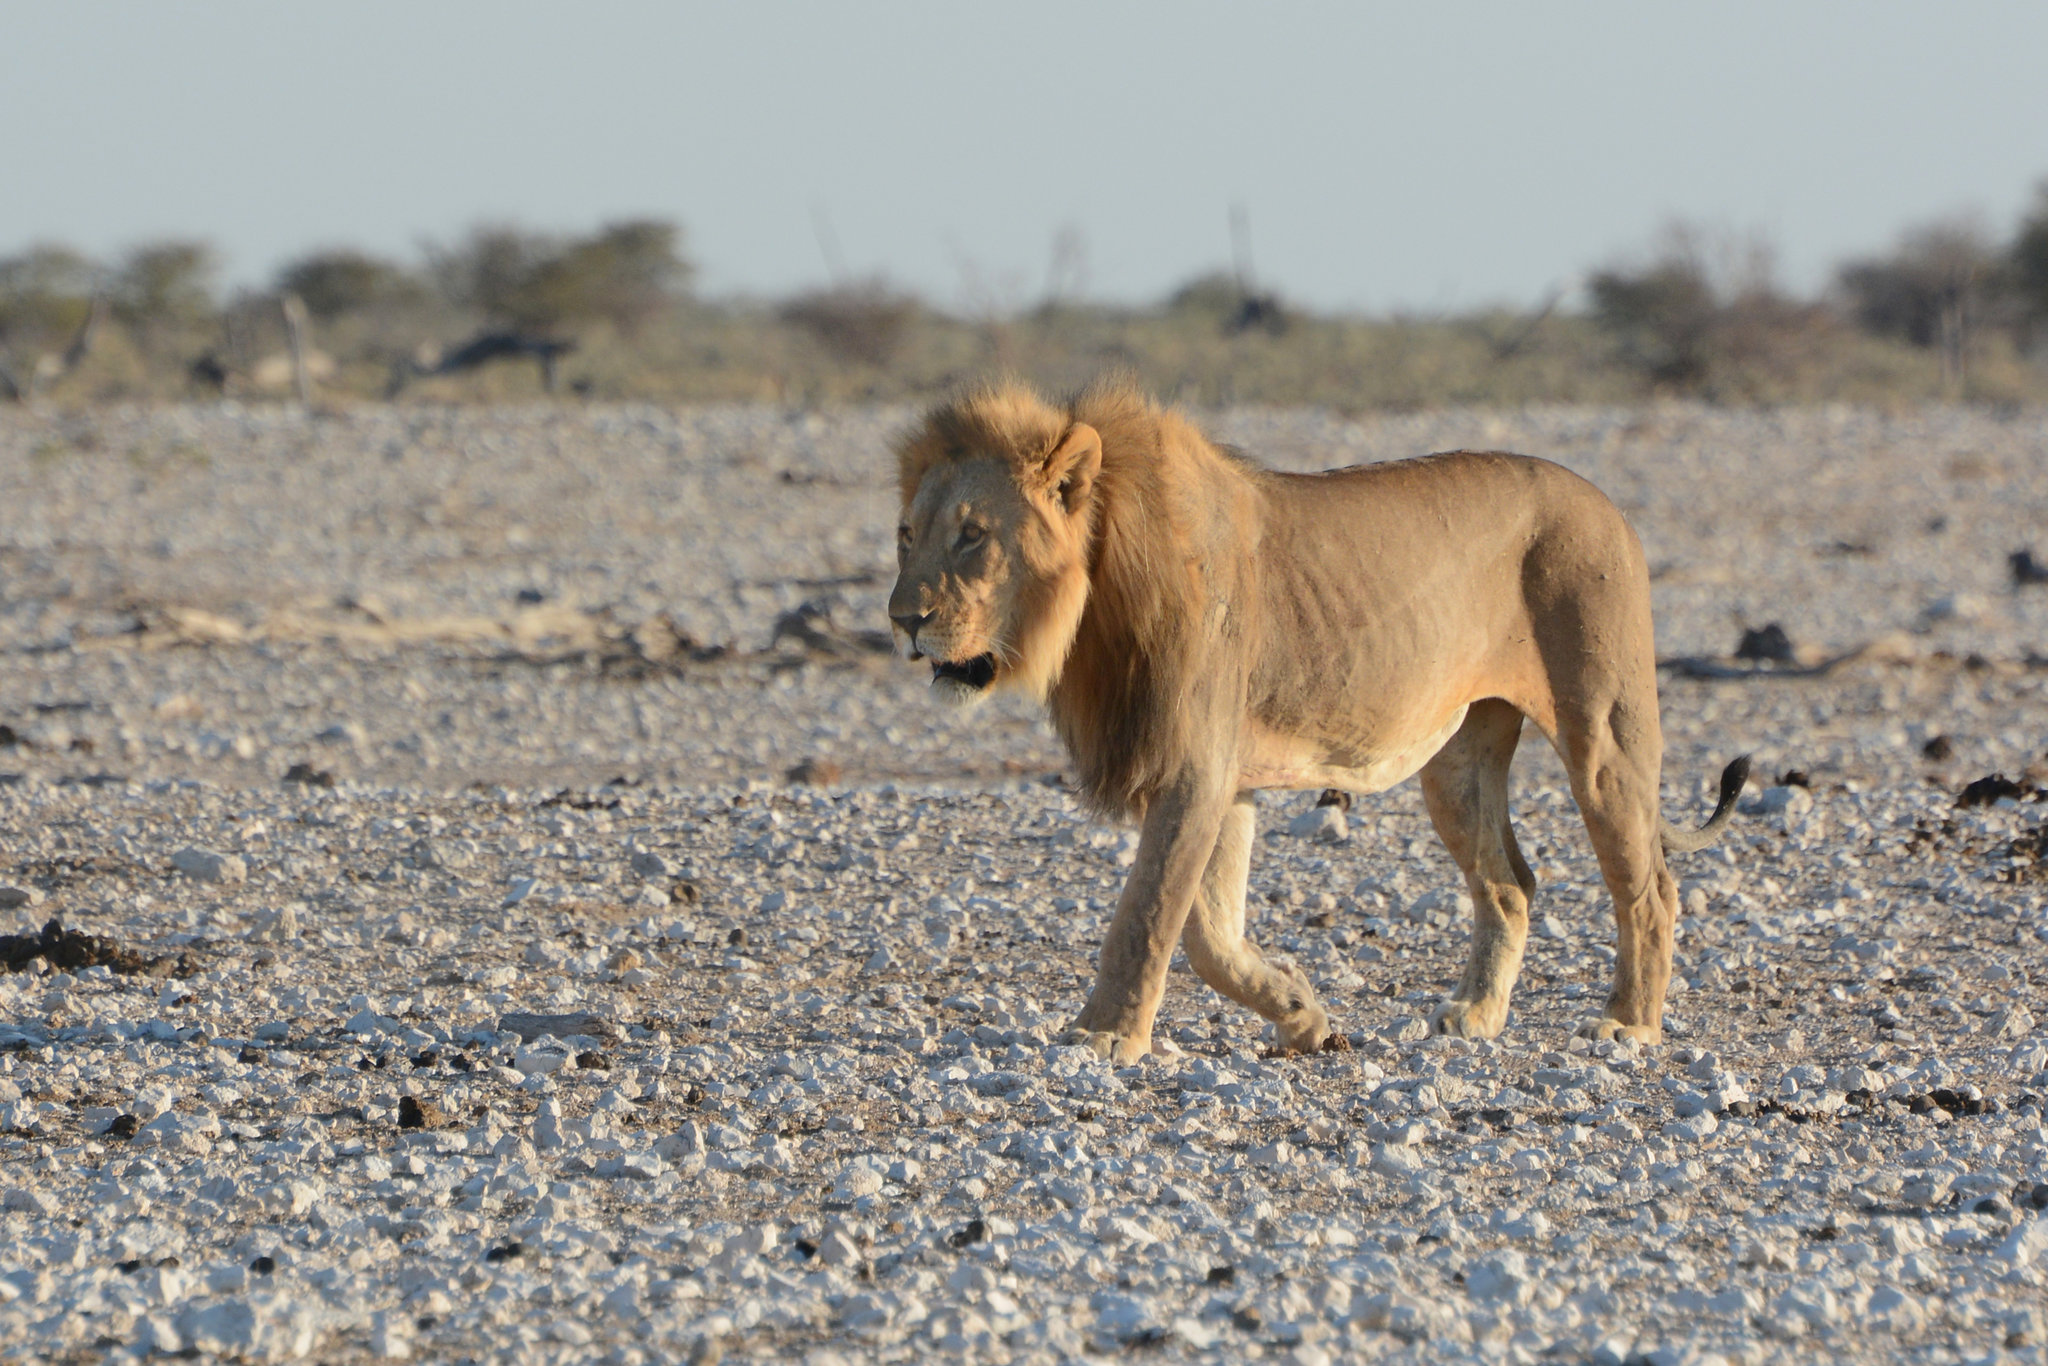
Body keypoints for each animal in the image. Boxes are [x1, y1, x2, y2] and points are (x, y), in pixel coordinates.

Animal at [888, 378, 1753, 1064]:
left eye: (973, 535)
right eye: (907, 535)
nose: (902, 621)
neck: (1091, 608)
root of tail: (1607, 503)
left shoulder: (1193, 768)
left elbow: (1148, 915)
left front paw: (1105, 1035)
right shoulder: (1226, 782)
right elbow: (1209, 935)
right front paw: (1302, 1013)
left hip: (1603, 730)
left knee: (1650, 884)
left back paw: (1629, 1025)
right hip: (1459, 758)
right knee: (1510, 883)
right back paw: (1475, 1015)